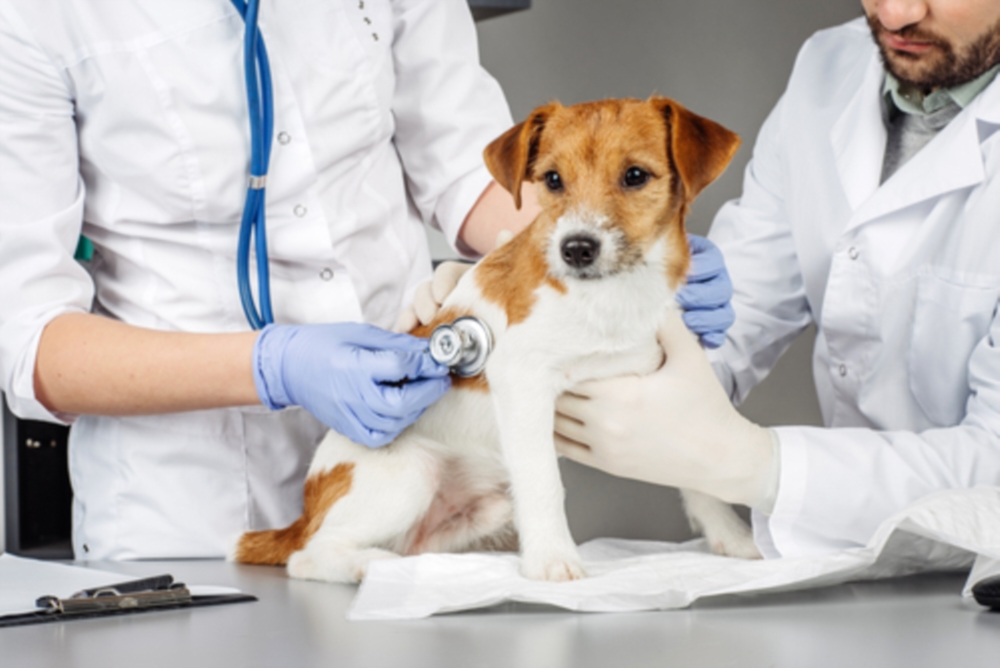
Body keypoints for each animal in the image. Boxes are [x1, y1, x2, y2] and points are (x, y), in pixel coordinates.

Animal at [236, 96, 756, 580]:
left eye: (634, 175)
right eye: (552, 180)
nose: (576, 248)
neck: (611, 297)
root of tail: (304, 512)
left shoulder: (658, 381)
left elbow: (691, 468)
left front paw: (732, 537)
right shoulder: (522, 380)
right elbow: (543, 480)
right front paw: (552, 561)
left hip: (486, 510)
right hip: (407, 473)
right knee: (309, 555)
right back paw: (372, 565)